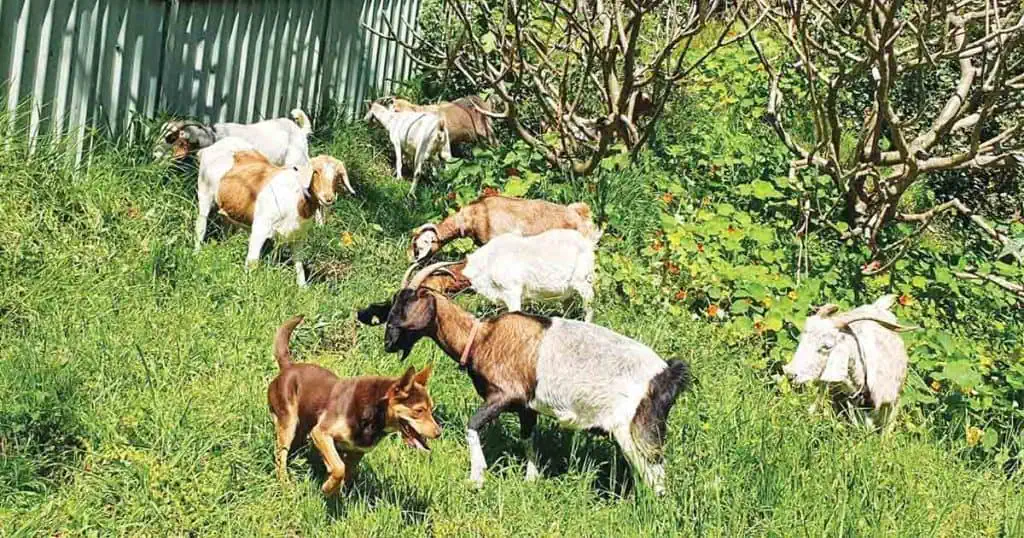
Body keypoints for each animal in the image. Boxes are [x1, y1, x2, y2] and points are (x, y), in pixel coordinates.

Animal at [194, 137, 351, 286]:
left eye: (337, 176)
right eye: (315, 172)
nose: (329, 198)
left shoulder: (298, 236)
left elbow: (299, 264)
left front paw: (303, 288)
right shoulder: (260, 229)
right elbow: (252, 262)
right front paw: (248, 285)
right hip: (204, 192)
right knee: (201, 225)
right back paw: (197, 253)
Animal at [357, 262, 691, 494]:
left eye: (407, 303)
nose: (388, 342)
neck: (481, 338)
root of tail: (668, 375)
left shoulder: (506, 394)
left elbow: (472, 425)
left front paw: (476, 478)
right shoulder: (527, 406)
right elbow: (528, 437)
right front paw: (532, 478)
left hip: (637, 431)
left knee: (656, 475)